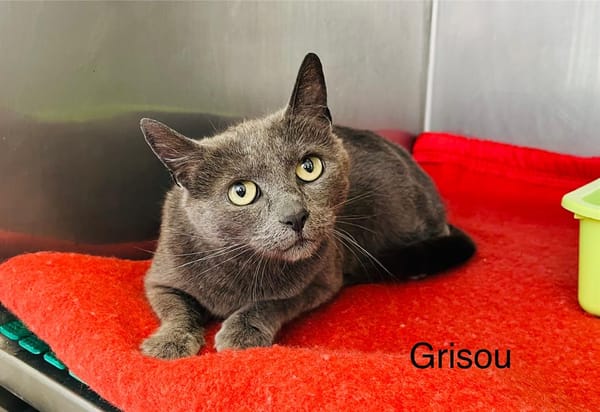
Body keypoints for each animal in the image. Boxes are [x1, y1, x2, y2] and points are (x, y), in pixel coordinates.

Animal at [139, 53, 475, 359]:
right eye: (241, 192)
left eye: (309, 167)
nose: (296, 216)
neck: (246, 265)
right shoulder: (159, 277)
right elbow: (177, 307)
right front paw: (169, 342)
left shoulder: (323, 280)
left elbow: (276, 301)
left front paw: (242, 330)